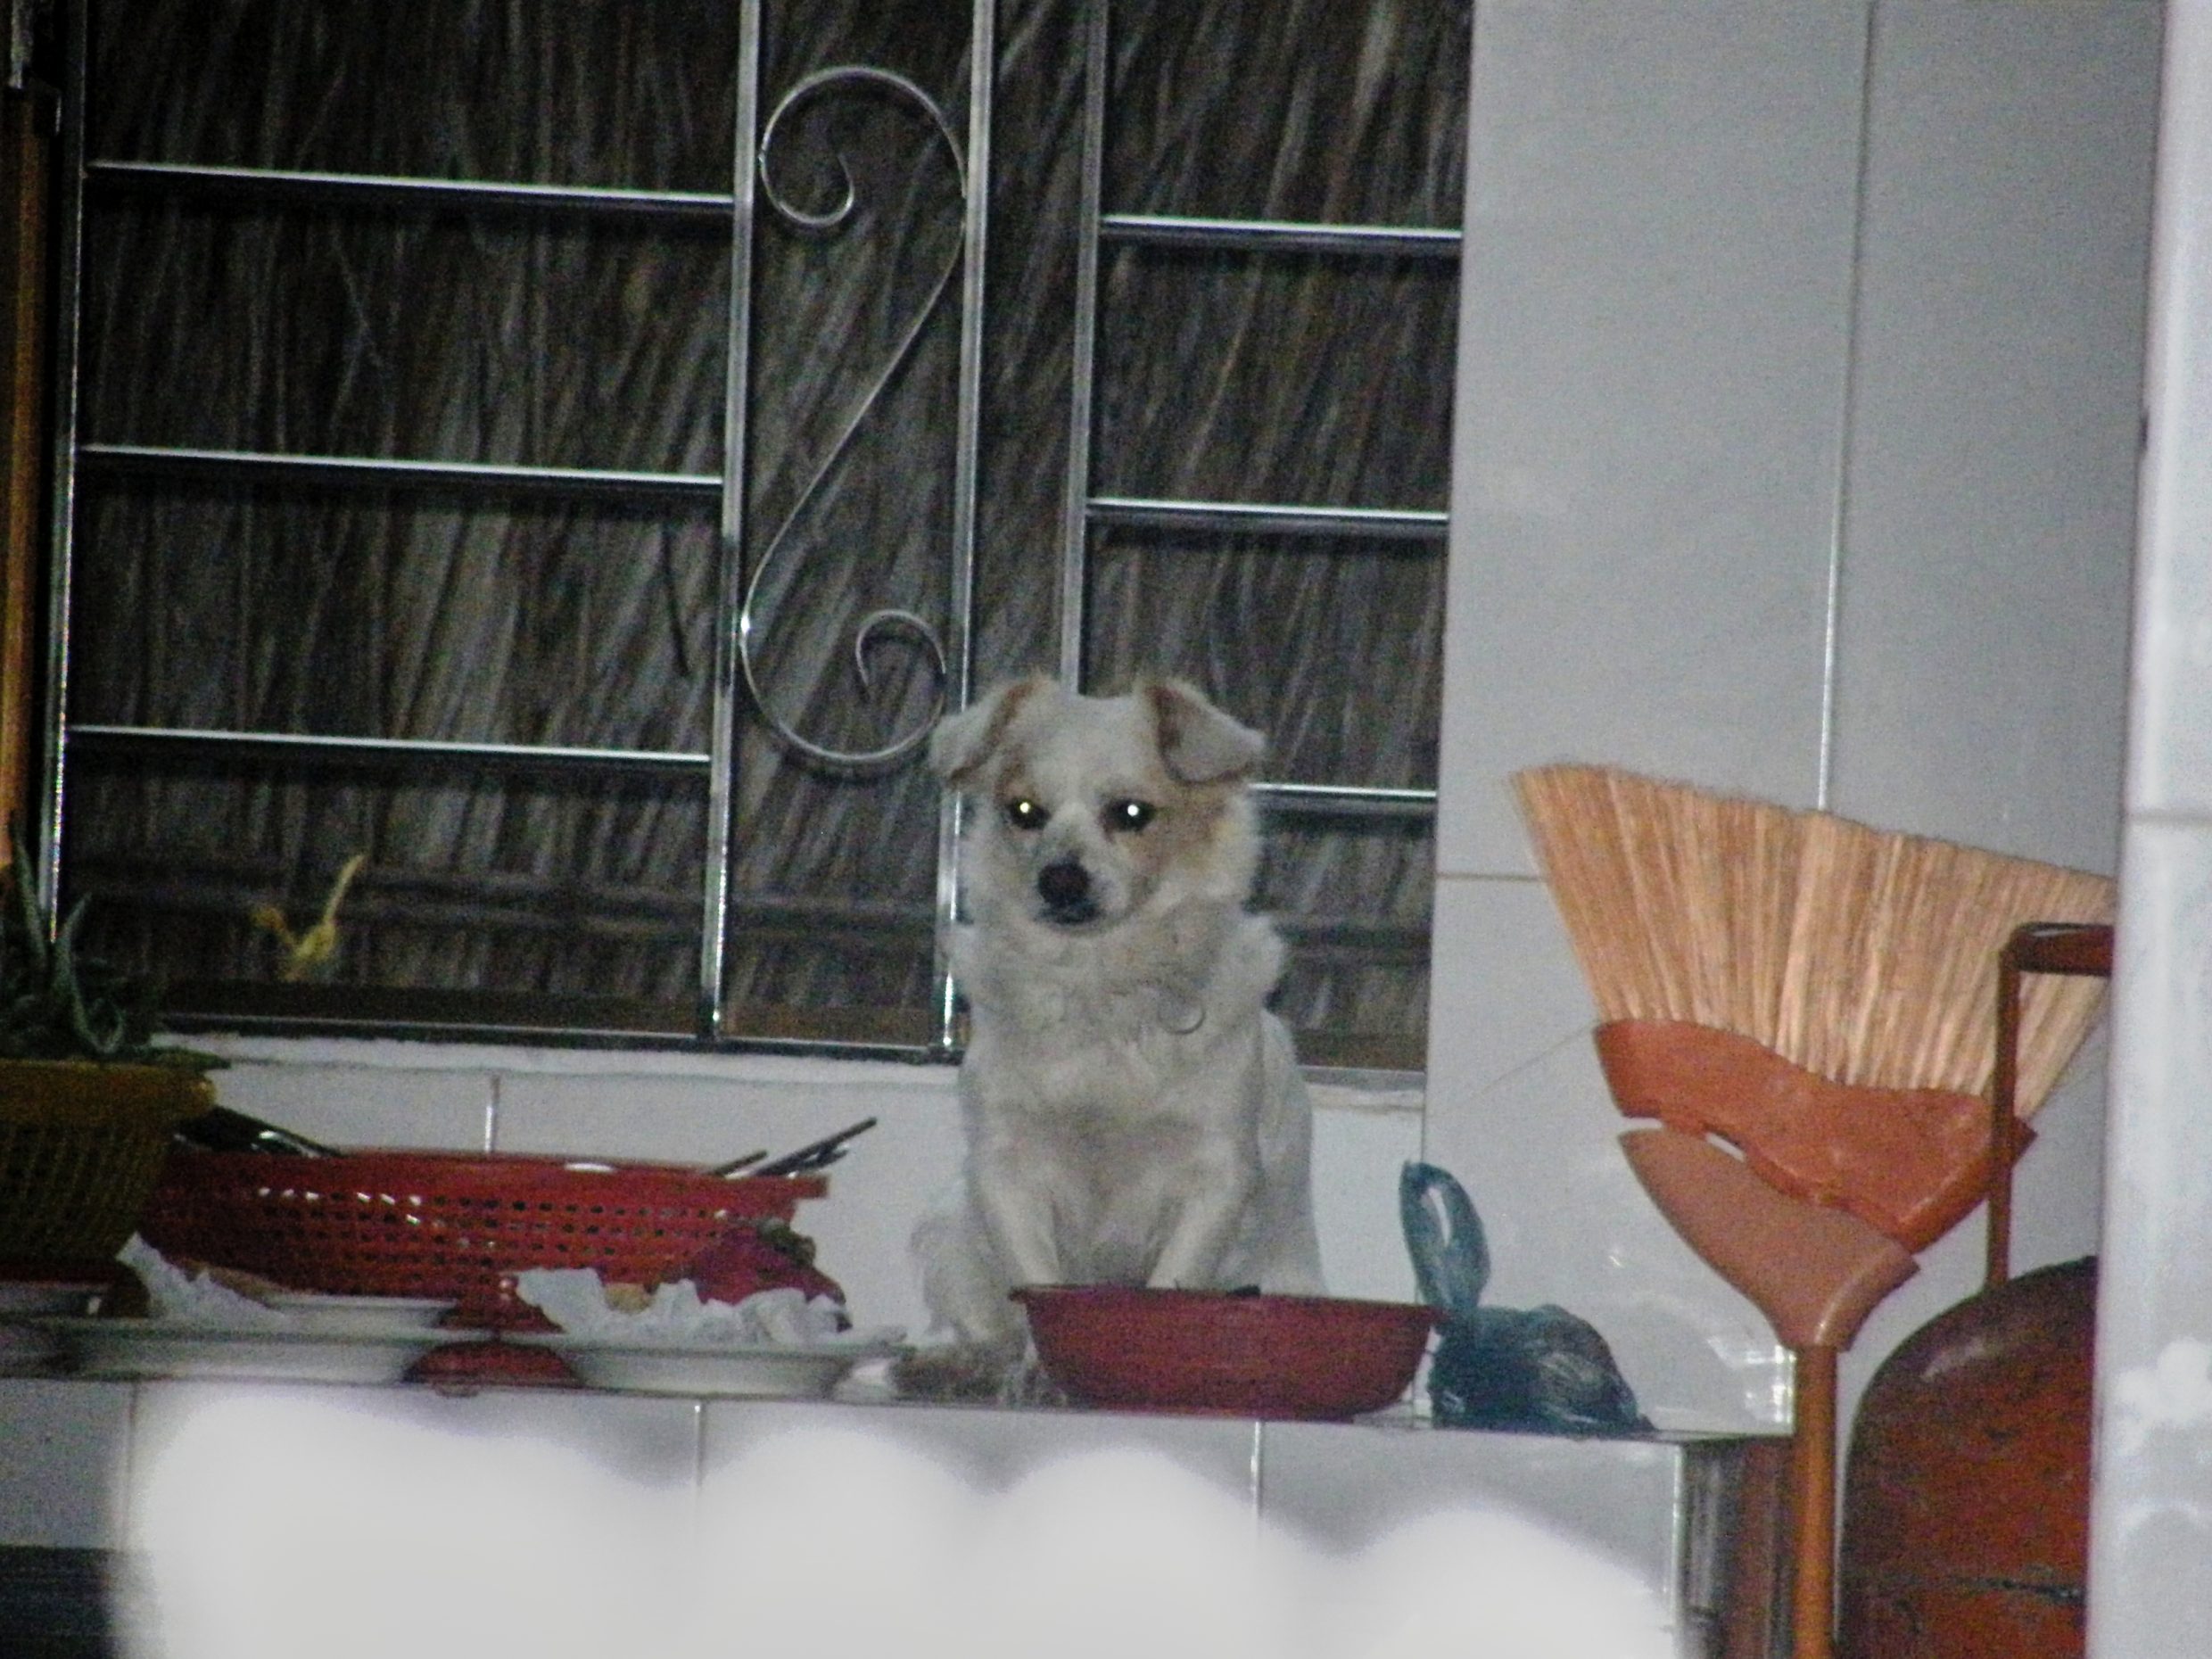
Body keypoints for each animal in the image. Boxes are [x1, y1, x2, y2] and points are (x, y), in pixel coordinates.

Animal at [893, 676, 1309, 1407]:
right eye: (1024, 812)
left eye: (1131, 813)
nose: (1060, 878)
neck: (1100, 988)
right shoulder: (1007, 1170)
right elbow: (1037, 1286)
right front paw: (1043, 1371)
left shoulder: (1216, 1176)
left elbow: (1171, 1282)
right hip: (952, 1231)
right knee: (989, 1330)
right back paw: (963, 1367)